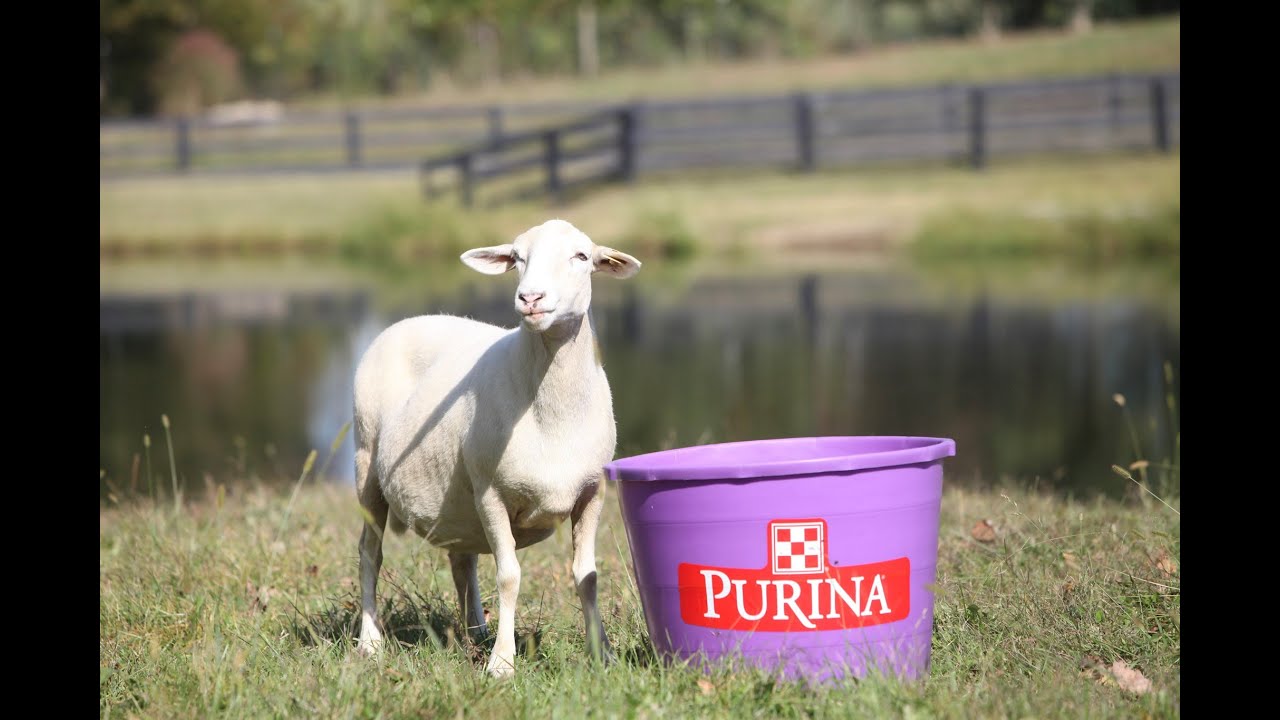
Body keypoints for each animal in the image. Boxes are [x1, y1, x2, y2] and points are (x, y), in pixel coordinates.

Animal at [351, 218, 641, 678]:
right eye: (518, 258)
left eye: (581, 256)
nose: (531, 298)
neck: (552, 413)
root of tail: (411, 320)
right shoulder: (491, 492)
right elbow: (509, 575)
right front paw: (503, 663)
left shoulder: (592, 491)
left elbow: (588, 575)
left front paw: (603, 654)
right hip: (367, 463)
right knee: (369, 554)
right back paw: (371, 641)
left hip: (455, 498)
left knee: (461, 560)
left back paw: (476, 632)